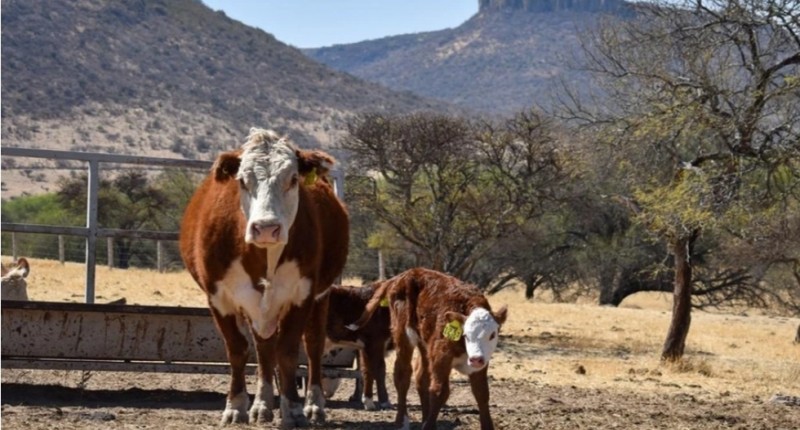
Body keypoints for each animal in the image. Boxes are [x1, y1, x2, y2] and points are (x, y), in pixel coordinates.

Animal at [179, 128, 349, 428]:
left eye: (292, 179)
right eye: (242, 181)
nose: (267, 228)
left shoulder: (301, 294)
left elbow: (288, 351)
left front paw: (293, 408)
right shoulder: (218, 298)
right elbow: (238, 350)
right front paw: (236, 406)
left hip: (320, 296)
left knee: (313, 345)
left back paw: (313, 405)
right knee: (263, 347)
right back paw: (262, 404)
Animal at [348, 268, 508, 430]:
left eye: (492, 334)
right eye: (466, 335)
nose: (476, 359)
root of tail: (407, 273)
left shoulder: (482, 362)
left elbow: (482, 393)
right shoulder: (441, 356)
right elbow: (440, 391)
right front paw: (429, 425)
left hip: (424, 344)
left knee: (421, 377)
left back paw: (424, 418)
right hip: (403, 335)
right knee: (402, 376)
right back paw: (401, 421)